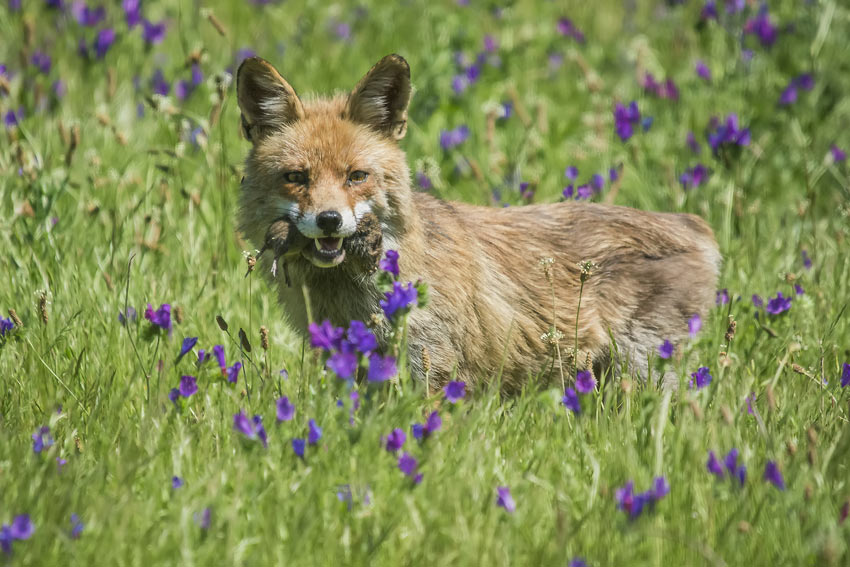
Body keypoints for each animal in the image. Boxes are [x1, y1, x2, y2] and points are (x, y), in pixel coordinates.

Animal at [235, 54, 720, 394]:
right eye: (296, 177)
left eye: (356, 176)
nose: (330, 220)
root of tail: (692, 225)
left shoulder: (435, 369)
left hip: (642, 372)